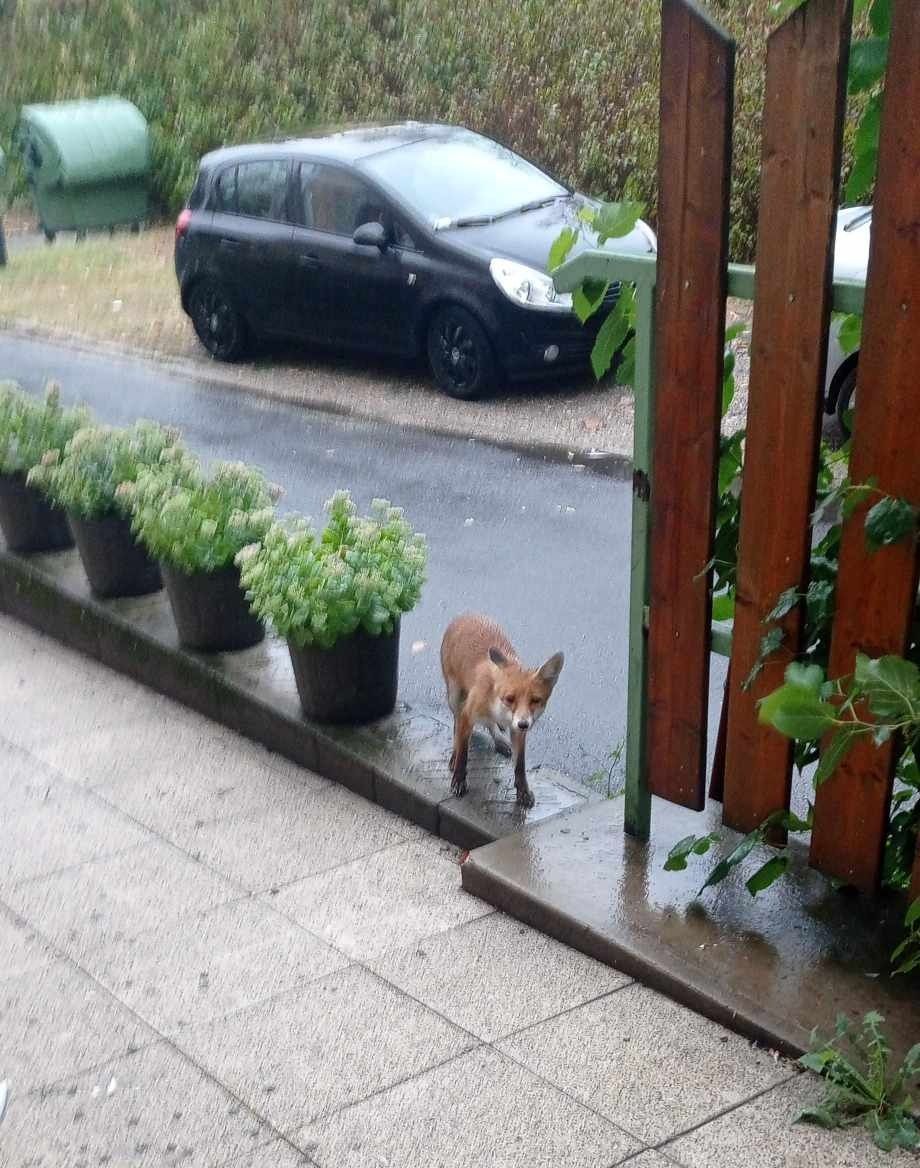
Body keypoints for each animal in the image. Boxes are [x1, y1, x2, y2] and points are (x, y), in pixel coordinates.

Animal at [438, 616, 560, 808]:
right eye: (509, 698)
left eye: (535, 700)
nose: (524, 724)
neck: (498, 708)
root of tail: (466, 614)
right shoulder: (467, 714)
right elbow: (463, 753)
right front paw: (458, 779)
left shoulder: (517, 730)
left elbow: (520, 766)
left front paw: (523, 792)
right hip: (454, 697)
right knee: (456, 725)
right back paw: (454, 755)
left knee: (489, 724)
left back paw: (499, 741)